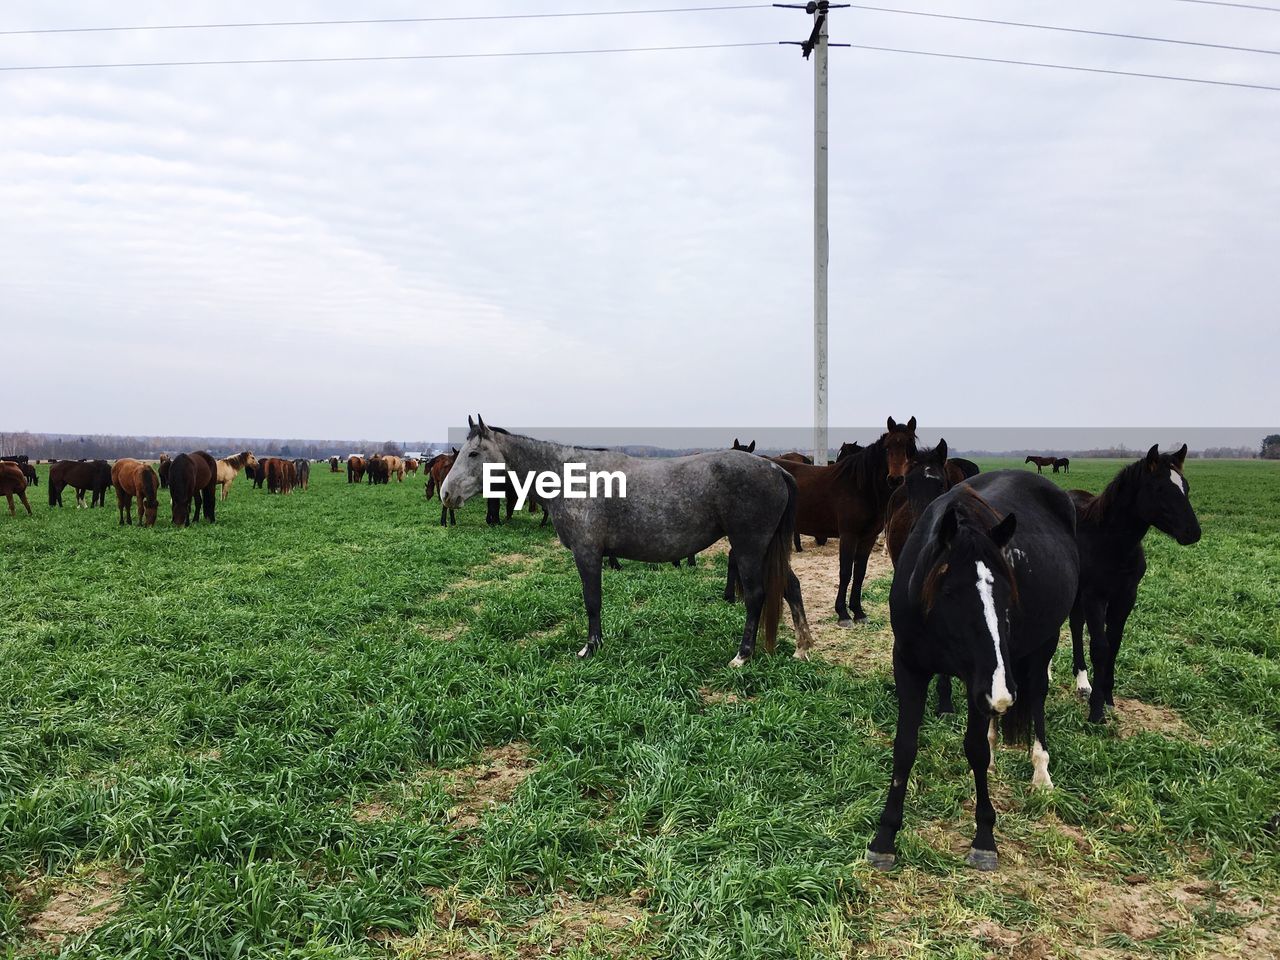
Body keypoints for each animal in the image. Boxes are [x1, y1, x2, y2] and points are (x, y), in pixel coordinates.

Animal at [440, 417, 814, 670]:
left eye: (474, 453)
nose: (447, 494)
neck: (570, 475)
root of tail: (775, 469)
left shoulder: (587, 554)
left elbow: (592, 601)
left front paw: (590, 647)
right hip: (767, 550)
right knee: (791, 587)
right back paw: (802, 647)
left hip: (750, 548)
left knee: (756, 596)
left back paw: (742, 655)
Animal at [727, 417, 916, 627]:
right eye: (887, 447)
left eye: (910, 445)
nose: (896, 479)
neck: (861, 487)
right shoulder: (848, 535)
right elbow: (845, 572)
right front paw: (843, 614)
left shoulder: (868, 538)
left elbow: (860, 573)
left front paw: (858, 612)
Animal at [870, 471, 1080, 875]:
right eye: (950, 592)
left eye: (1008, 593)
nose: (1002, 693)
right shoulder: (909, 667)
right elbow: (905, 747)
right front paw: (885, 837)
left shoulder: (981, 679)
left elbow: (974, 748)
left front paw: (984, 839)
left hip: (1041, 645)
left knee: (1037, 697)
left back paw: (1041, 773)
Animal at [1070, 448, 1198, 727]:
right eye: (1159, 489)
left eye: (1186, 486)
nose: (1193, 532)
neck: (1109, 541)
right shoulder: (1094, 596)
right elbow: (1100, 647)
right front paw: (1096, 712)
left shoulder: (1126, 596)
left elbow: (1114, 644)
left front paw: (1107, 698)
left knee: (1074, 624)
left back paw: (1082, 681)